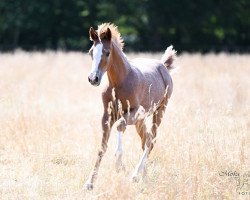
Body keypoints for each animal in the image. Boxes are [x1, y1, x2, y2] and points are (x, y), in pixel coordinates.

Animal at [85, 22, 175, 190]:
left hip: (159, 111)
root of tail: (163, 66)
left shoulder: (134, 112)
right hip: (141, 121)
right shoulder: (107, 116)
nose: (93, 78)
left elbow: (120, 125)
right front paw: (90, 183)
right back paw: (143, 177)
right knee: (146, 140)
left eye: (107, 52)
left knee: (151, 140)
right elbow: (102, 147)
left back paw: (135, 176)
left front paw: (119, 164)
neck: (119, 82)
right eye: (90, 52)